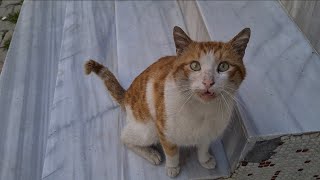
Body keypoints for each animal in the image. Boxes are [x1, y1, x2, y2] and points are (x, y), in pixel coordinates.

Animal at [84, 25, 250, 177]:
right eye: (195, 65)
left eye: (224, 66)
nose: (208, 82)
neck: (202, 109)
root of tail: (127, 95)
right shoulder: (163, 130)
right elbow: (171, 152)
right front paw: (172, 167)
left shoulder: (208, 131)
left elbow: (203, 145)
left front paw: (205, 159)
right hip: (148, 129)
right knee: (124, 136)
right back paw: (150, 154)